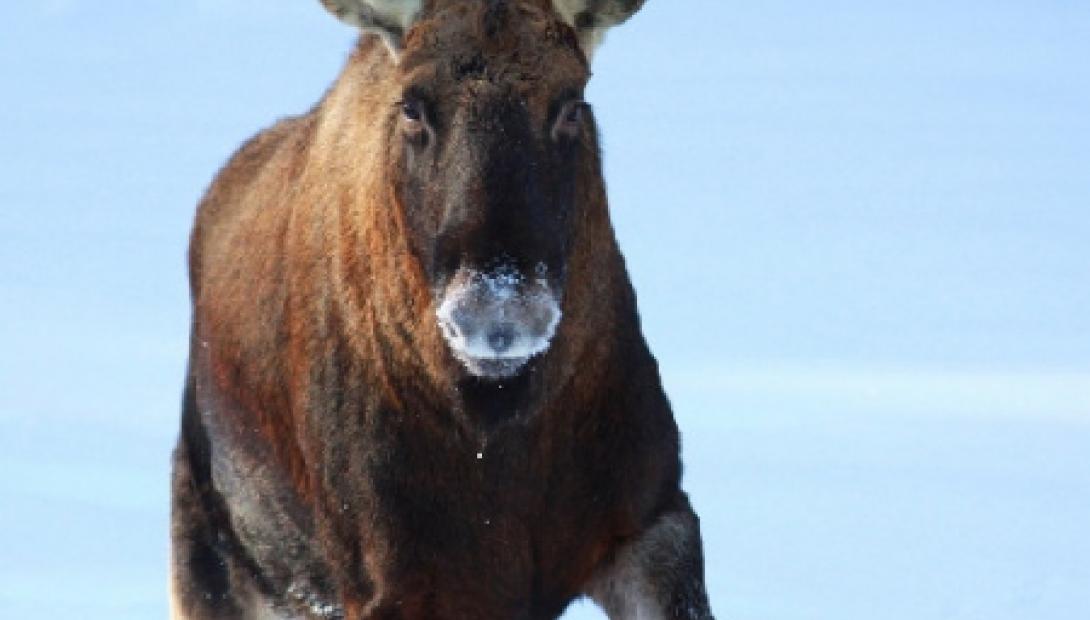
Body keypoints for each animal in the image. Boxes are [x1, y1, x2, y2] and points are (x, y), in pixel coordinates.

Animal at [170, 1, 715, 618]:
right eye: (412, 105)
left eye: (572, 102)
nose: (497, 314)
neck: (499, 432)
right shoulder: (397, 583)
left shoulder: (653, 515)